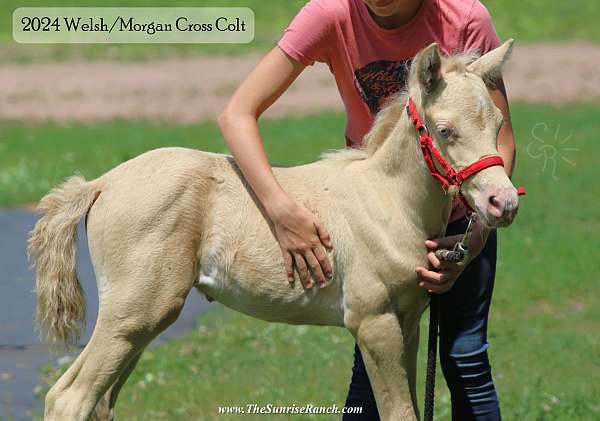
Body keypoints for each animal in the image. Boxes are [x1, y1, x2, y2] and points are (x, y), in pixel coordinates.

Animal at [28, 40, 516, 420]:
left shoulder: (409, 322)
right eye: (445, 129)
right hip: (132, 315)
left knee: (98, 401)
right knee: (70, 398)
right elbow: (399, 413)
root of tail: (102, 183)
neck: (386, 201)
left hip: (140, 324)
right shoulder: (373, 322)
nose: (503, 202)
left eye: (498, 123)